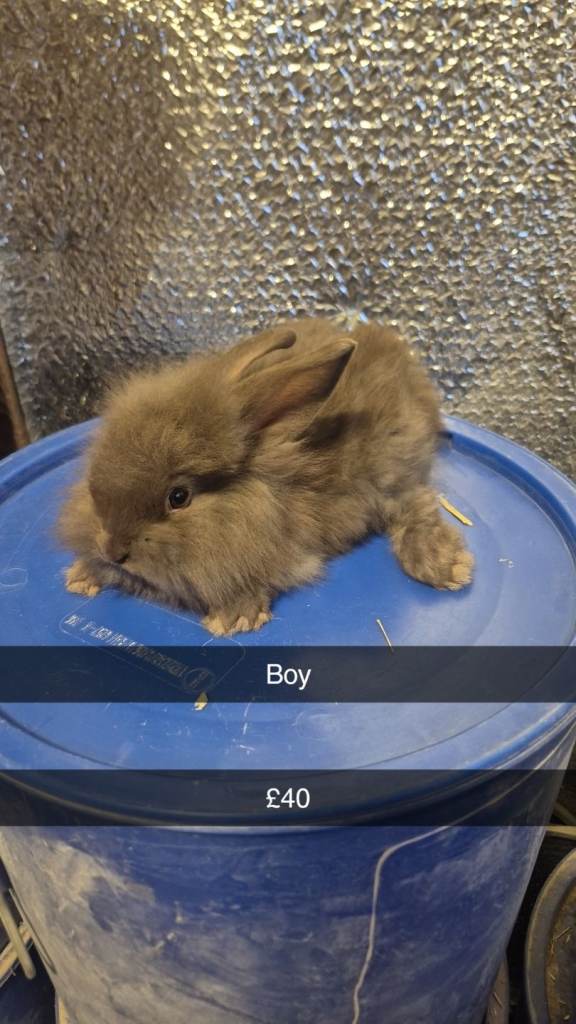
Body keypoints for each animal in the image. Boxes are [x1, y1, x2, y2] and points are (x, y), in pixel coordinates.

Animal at [58, 317, 474, 635]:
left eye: (178, 497)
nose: (113, 551)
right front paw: (81, 576)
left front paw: (233, 618)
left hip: (392, 472)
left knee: (418, 502)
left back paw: (445, 566)